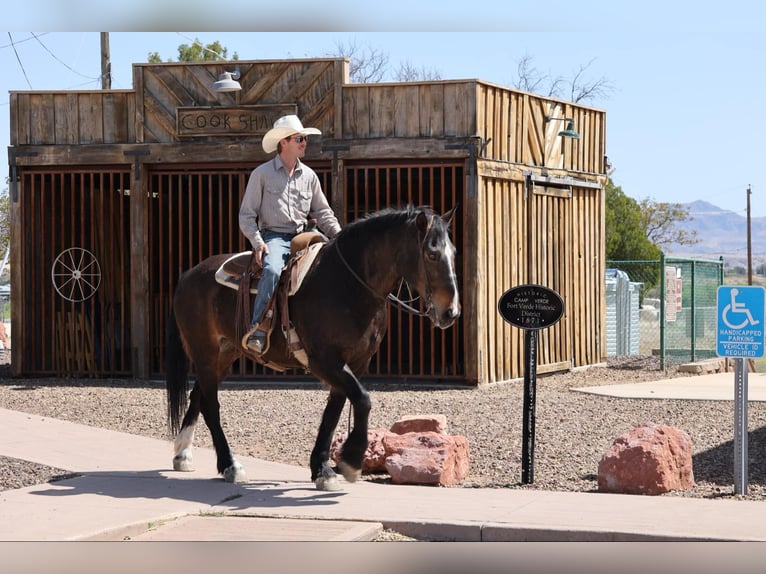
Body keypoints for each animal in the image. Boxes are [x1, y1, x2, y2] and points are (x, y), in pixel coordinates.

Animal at [165, 205, 461, 491]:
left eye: (453, 253)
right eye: (432, 254)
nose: (451, 312)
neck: (349, 285)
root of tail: (188, 275)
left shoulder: (355, 363)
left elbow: (334, 411)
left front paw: (322, 469)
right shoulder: (324, 361)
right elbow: (362, 399)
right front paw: (351, 461)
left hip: (223, 355)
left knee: (200, 398)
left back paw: (183, 454)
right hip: (205, 353)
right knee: (212, 406)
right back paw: (230, 466)